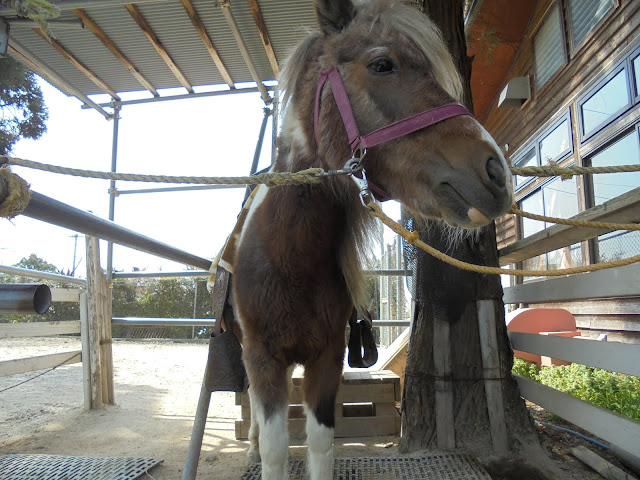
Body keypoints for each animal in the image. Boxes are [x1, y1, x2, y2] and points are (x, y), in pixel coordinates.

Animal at [232, 1, 512, 478]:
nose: (496, 172)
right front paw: (259, 450)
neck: (288, 259)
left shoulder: (326, 361)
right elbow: (275, 450)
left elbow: (320, 447)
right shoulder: (262, 355)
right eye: (383, 64)